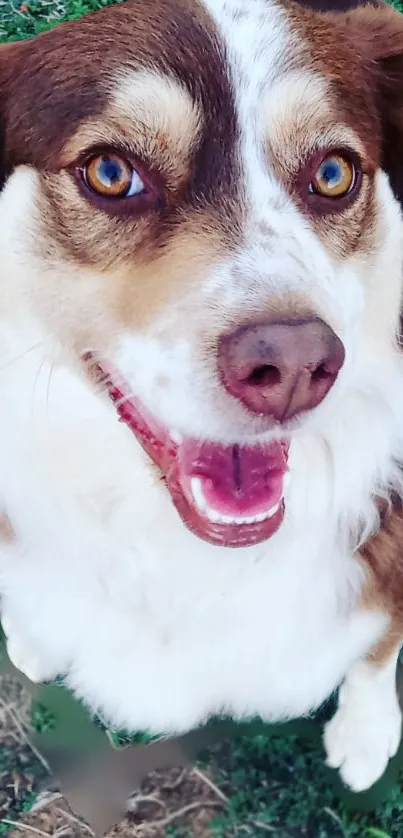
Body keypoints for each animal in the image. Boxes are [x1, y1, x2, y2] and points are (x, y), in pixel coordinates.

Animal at [1, 0, 403, 796]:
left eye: (333, 173)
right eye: (111, 172)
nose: (293, 363)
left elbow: (379, 642)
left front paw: (367, 732)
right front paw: (30, 632)